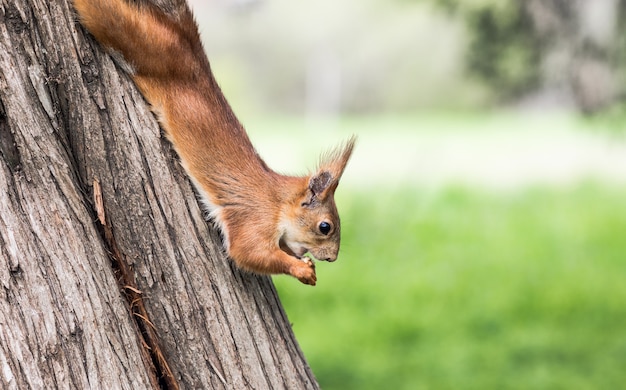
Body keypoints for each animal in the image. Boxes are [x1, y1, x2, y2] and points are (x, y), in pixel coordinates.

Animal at [70, 0, 354, 286]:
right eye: (325, 227)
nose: (332, 258)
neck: (279, 203)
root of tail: (188, 41)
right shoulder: (255, 218)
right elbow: (248, 252)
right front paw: (301, 270)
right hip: (139, 40)